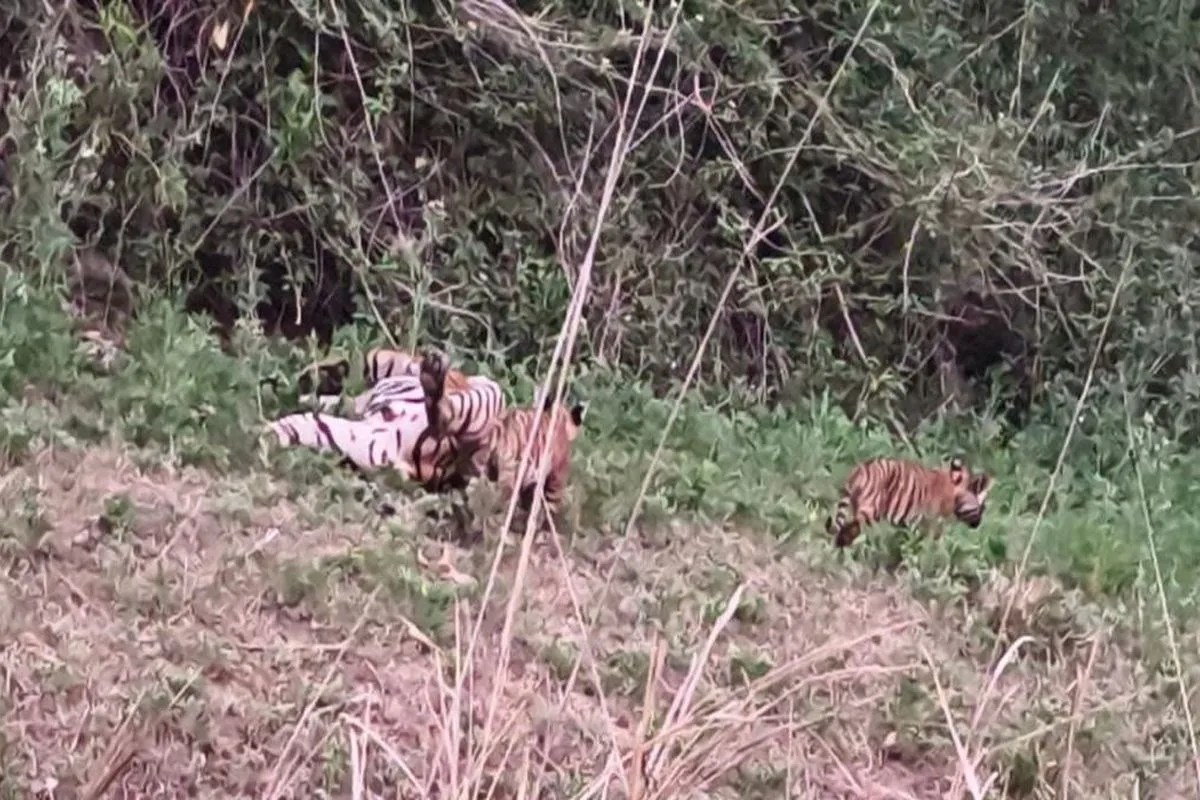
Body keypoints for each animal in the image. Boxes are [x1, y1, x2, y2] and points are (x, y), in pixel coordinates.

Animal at [825, 455, 994, 548]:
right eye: (983, 507)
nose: (978, 524)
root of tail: (860, 469)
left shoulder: (910, 524)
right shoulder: (932, 524)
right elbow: (931, 546)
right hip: (869, 510)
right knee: (847, 529)